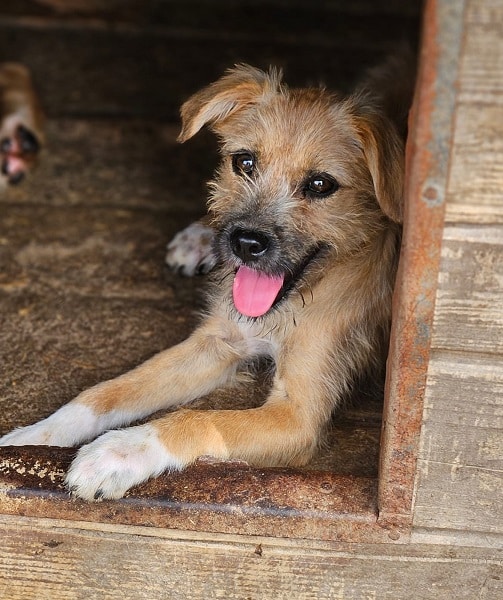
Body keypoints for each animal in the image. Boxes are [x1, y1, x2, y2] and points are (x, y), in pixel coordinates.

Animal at [0, 55, 414, 500]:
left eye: (321, 184)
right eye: (244, 162)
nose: (245, 242)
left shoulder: (299, 414)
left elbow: (199, 419)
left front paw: (117, 452)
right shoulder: (217, 341)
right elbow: (108, 391)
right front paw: (35, 437)